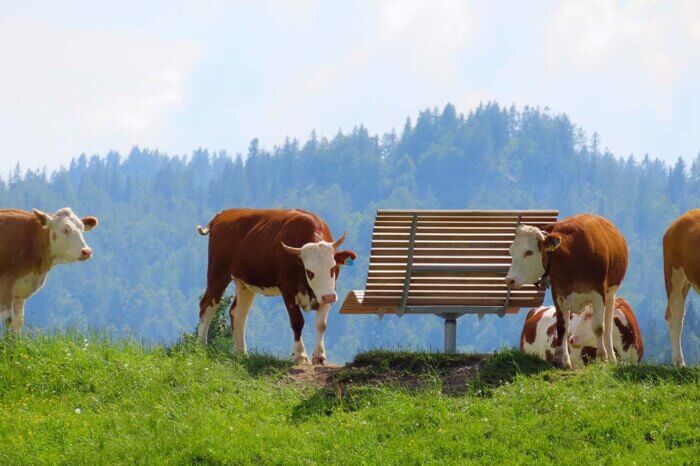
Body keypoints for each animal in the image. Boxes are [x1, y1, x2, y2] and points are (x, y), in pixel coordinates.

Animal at [196, 209, 356, 366]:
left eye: (332, 268)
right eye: (310, 272)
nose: (329, 297)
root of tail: (223, 214)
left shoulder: (329, 289)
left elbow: (321, 324)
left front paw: (319, 357)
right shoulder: (288, 290)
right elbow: (297, 322)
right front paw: (300, 355)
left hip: (244, 284)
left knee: (238, 313)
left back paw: (241, 353)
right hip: (218, 273)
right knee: (207, 305)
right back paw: (201, 346)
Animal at [504, 213, 628, 370]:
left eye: (528, 252)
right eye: (511, 251)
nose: (509, 280)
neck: (571, 256)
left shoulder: (598, 292)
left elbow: (598, 327)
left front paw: (602, 358)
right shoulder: (558, 293)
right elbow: (562, 327)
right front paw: (561, 360)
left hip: (611, 294)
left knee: (607, 326)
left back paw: (611, 357)